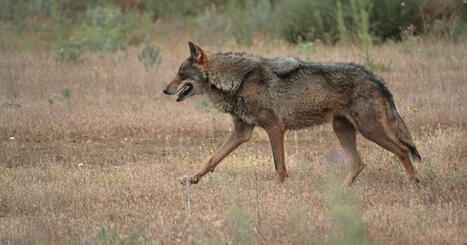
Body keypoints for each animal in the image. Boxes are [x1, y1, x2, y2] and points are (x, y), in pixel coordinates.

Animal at [163, 42, 422, 187]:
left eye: (181, 75)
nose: (164, 89)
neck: (239, 80)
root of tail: (375, 77)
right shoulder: (242, 132)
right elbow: (212, 159)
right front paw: (191, 179)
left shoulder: (275, 128)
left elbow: (279, 165)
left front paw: (278, 189)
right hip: (342, 129)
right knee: (359, 163)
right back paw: (341, 191)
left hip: (369, 130)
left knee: (402, 150)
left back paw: (413, 182)